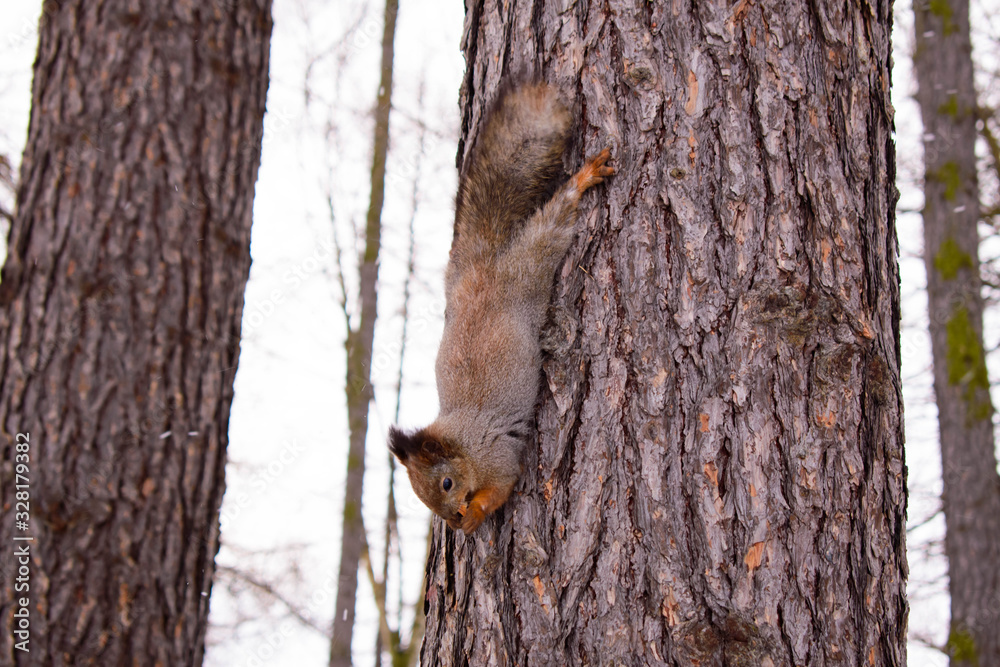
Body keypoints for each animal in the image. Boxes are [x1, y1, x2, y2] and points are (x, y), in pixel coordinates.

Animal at [388, 83, 614, 533]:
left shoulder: (496, 455)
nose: (451, 519)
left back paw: (581, 181)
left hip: (528, 265)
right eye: (421, 497)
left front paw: (474, 515)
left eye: (446, 483)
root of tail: (483, 267)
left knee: (550, 226)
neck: (461, 439)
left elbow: (502, 485)